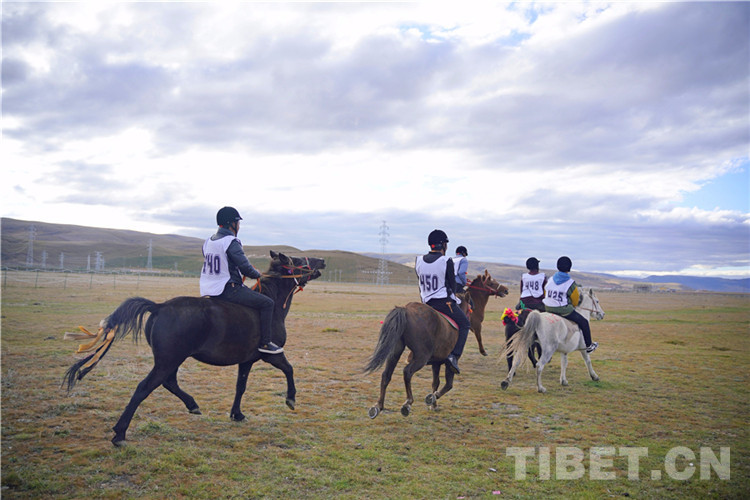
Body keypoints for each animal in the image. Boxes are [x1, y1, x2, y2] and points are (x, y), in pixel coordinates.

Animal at [63, 251, 325, 446]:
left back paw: (192, 405)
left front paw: (237, 414)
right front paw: (291, 399)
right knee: (145, 388)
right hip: (169, 360)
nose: (322, 261)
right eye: (298, 260)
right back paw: (119, 433)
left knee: (169, 382)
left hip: (172, 360)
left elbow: (240, 387)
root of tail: (159, 306)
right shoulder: (269, 355)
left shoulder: (246, 361)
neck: (272, 304)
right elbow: (289, 369)